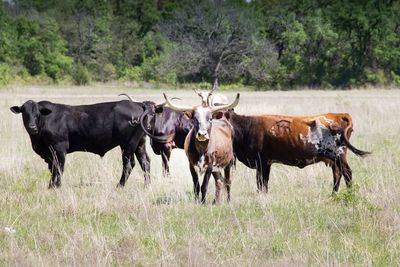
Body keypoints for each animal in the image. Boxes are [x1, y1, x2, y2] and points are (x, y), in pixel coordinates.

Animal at [10, 99, 155, 188]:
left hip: (128, 144)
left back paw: (120, 185)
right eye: (24, 113)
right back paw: (147, 185)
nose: (32, 127)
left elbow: (59, 168)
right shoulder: (49, 152)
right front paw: (50, 185)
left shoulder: (59, 147)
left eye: (37, 113)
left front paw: (56, 186)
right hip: (140, 144)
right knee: (145, 162)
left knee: (129, 164)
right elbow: (52, 168)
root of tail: (137, 104)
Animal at [222, 110, 368, 194]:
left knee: (347, 173)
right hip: (334, 159)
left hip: (339, 155)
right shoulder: (266, 163)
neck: (247, 127)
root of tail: (340, 115)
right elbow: (264, 182)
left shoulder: (261, 162)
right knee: (338, 173)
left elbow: (260, 182)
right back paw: (333, 194)